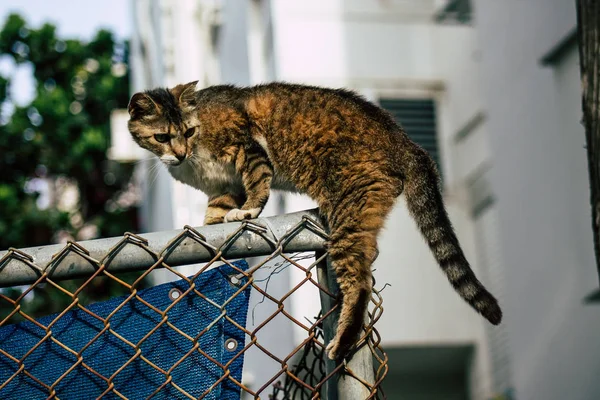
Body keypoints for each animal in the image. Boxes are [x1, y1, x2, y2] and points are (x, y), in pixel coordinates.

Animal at [126, 81, 502, 362]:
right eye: (162, 137)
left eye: (188, 132)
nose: (180, 153)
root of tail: (407, 144)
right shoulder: (223, 188)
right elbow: (214, 215)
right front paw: (206, 234)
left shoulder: (249, 150)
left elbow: (257, 184)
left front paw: (248, 211)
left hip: (349, 209)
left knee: (360, 283)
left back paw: (343, 340)